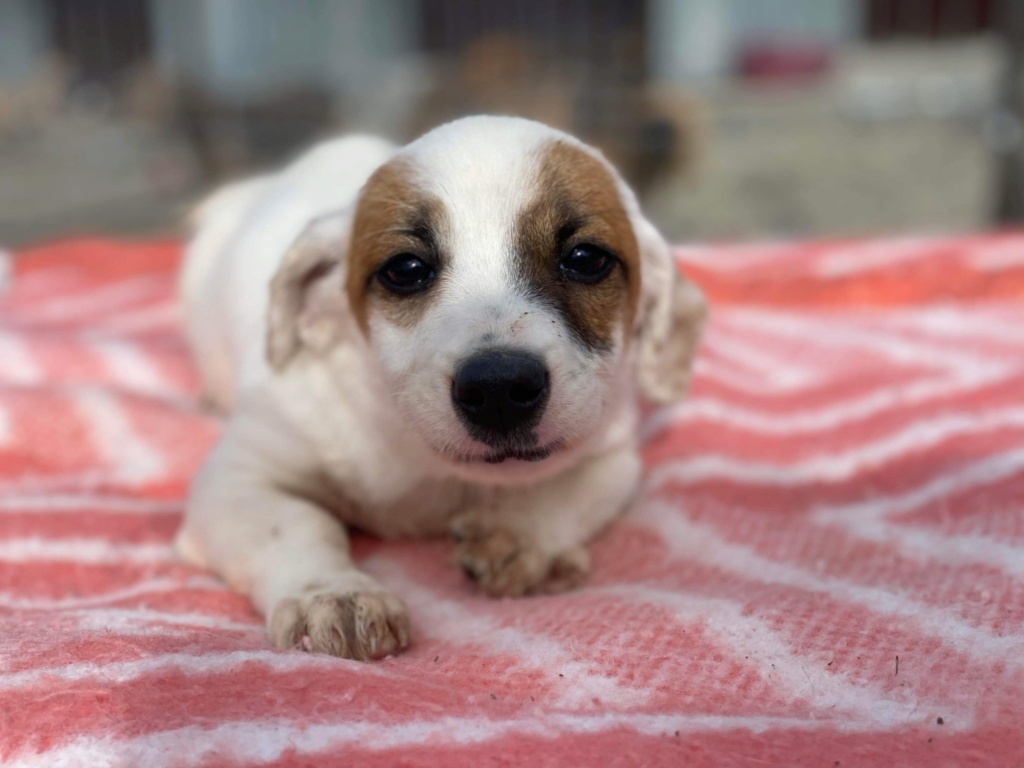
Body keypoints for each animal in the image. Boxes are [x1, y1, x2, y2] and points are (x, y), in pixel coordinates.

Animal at [174, 114, 704, 663]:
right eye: (405, 269)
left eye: (585, 258)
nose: (499, 387)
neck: (426, 462)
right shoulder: (238, 478)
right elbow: (296, 523)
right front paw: (332, 592)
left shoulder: (612, 452)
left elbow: (571, 491)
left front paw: (517, 534)